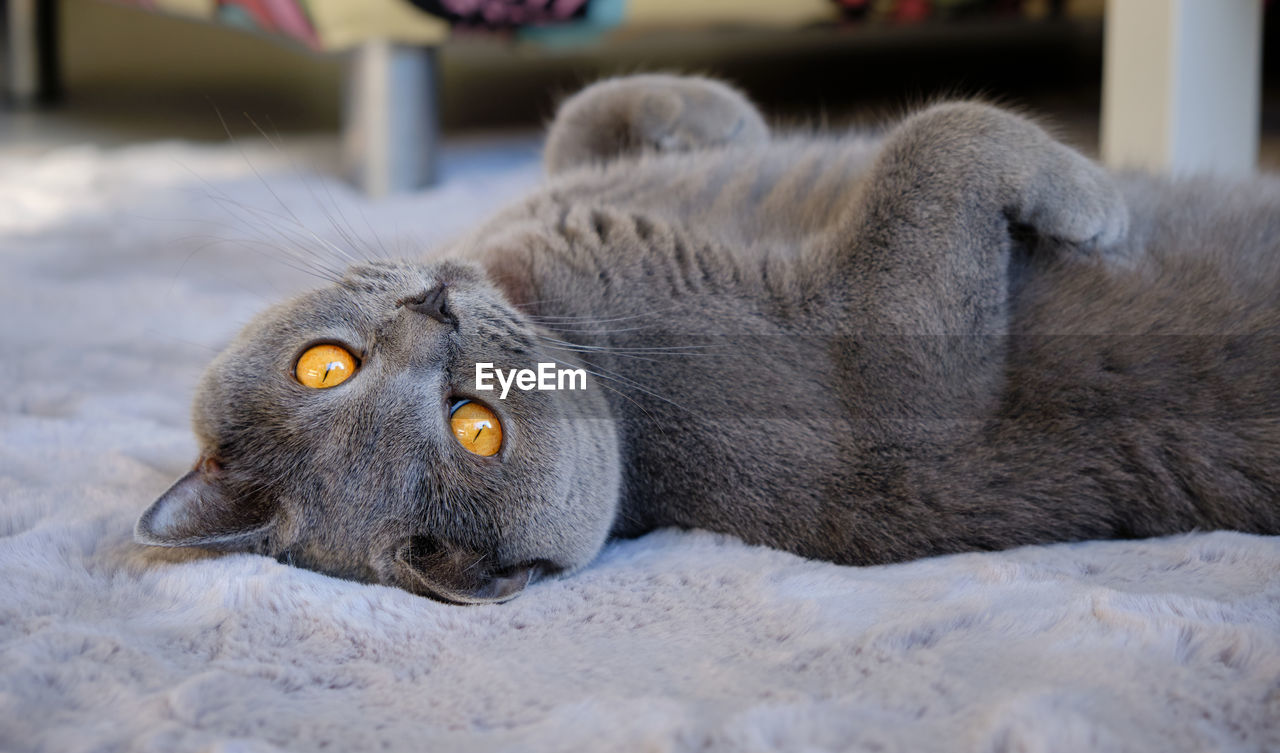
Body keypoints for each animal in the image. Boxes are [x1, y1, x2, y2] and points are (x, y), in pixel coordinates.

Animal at [132, 74, 1280, 607]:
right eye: (478, 426)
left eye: (323, 363)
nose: (436, 315)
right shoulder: (896, 378)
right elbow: (929, 144)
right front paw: (1099, 210)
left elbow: (591, 109)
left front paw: (718, 118)